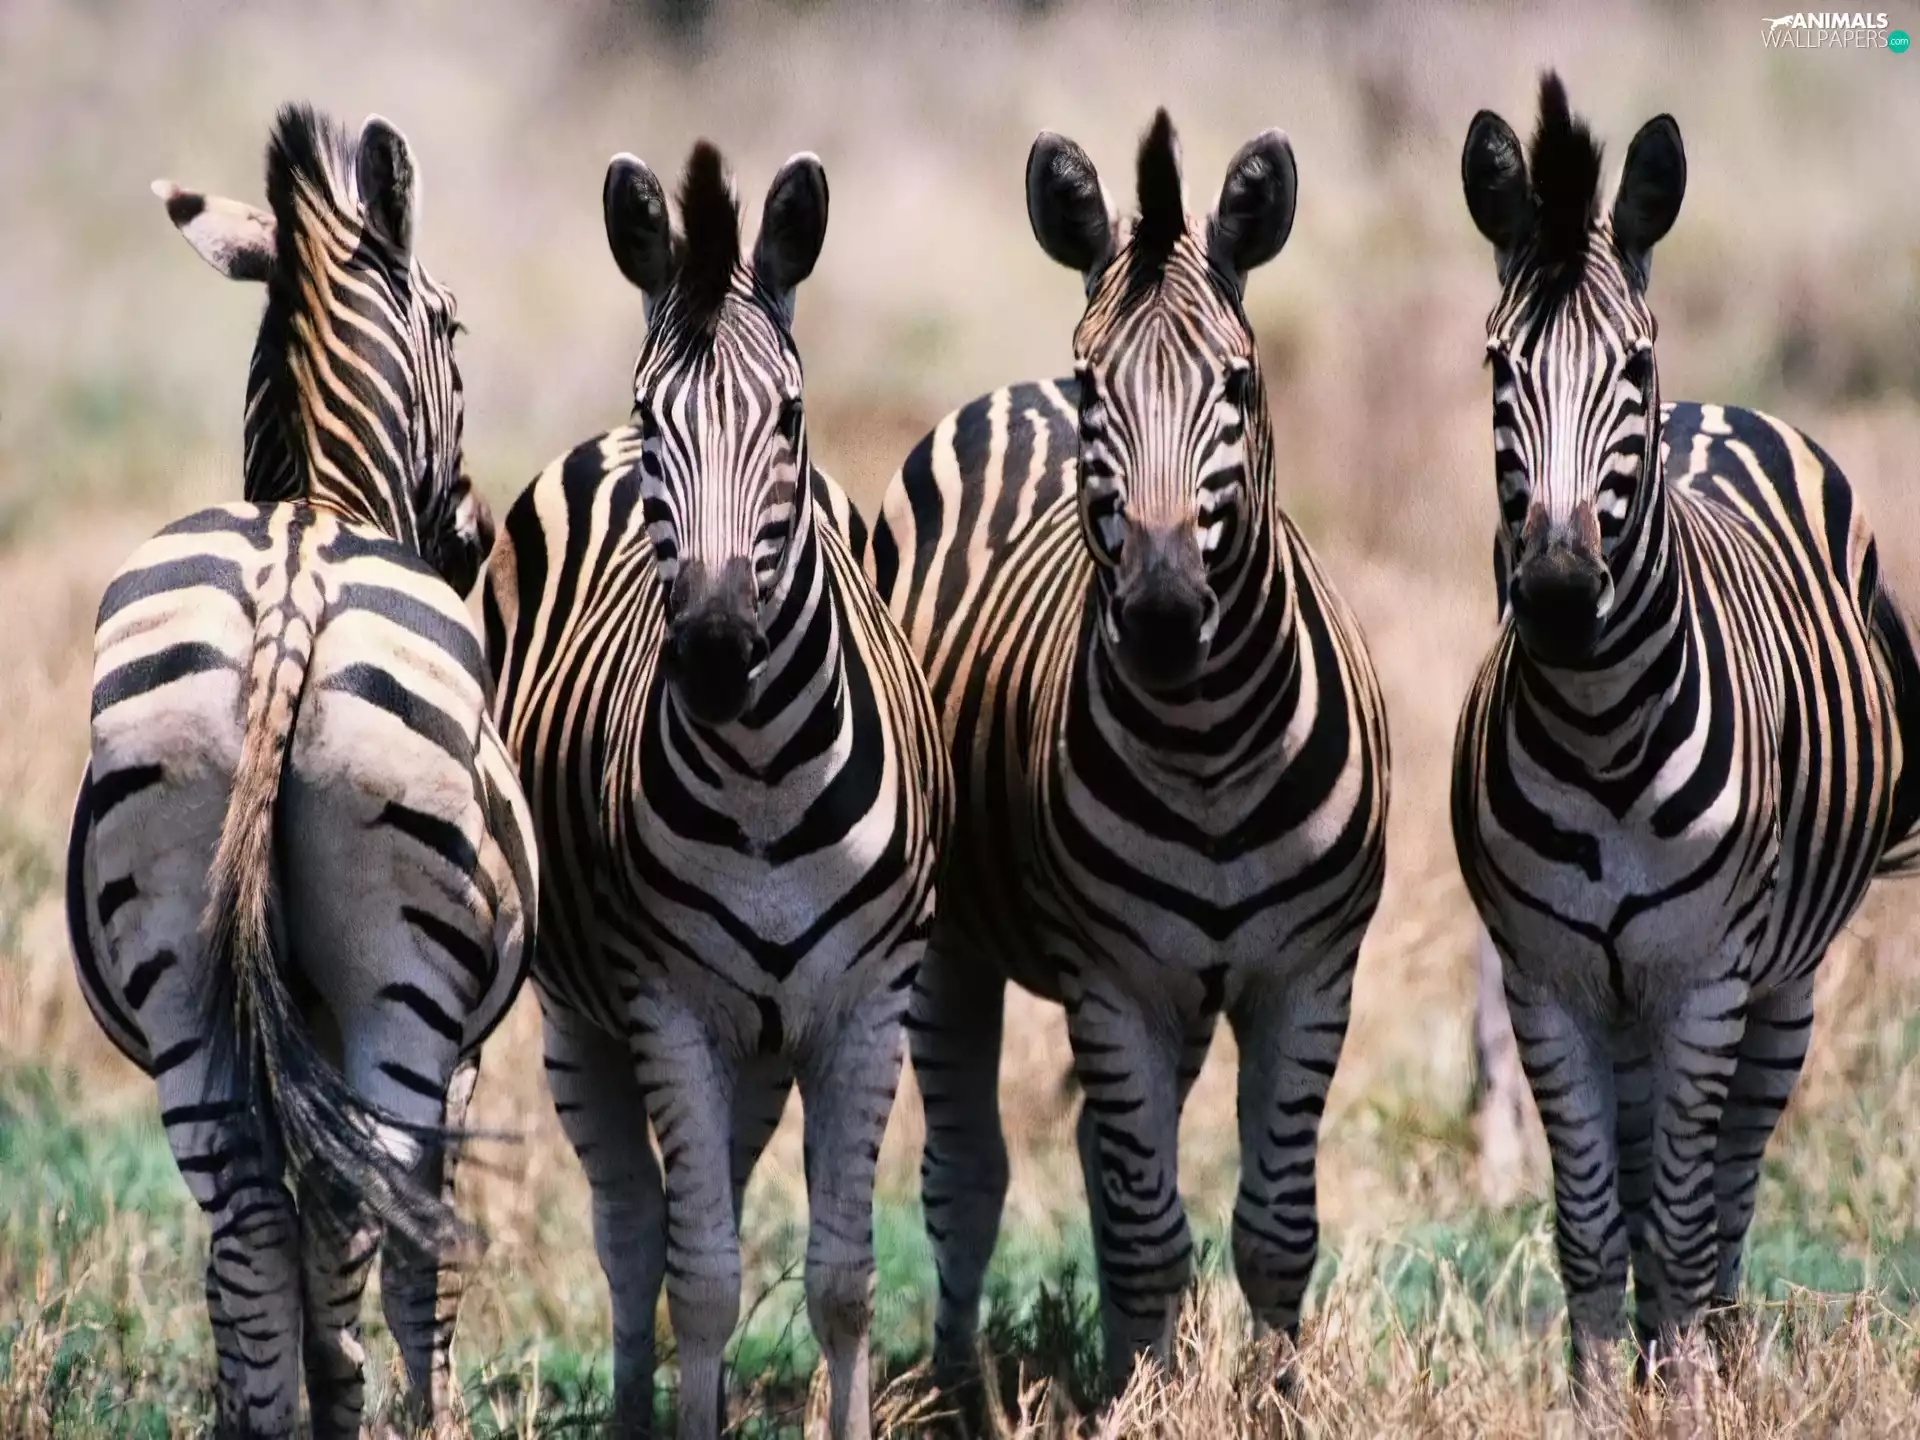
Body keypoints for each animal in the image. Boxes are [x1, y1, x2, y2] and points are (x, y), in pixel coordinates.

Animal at [66, 106, 537, 1438]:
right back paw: (358, 1401)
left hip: (180, 969)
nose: (473, 536)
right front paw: (427, 1405)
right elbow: (417, 1259)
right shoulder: (464, 1054)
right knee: (358, 1208)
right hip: (404, 994)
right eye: (456, 329)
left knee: (249, 1222)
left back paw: (282, 1413)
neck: (317, 496)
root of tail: (291, 586)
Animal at [481, 141, 951, 1440]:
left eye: (789, 416)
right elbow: (694, 1278)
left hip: (764, 1044)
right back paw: (639, 1412)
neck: (764, 782)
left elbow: (842, 1279)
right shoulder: (666, 1007)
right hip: (585, 1021)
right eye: (659, 421)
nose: (712, 647)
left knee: (719, 1202)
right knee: (635, 1234)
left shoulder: (869, 1005)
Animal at [871, 110, 1392, 1396]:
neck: (1209, 750)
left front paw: (1270, 1399)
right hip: (958, 948)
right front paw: (1150, 1402)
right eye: (1094, 384)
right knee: (968, 1177)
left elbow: (1273, 1225)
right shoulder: (1112, 978)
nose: (1160, 614)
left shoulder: (1308, 973)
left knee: (1104, 1164)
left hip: (1187, 995)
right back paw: (961, 1390)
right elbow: (1152, 1229)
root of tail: (1005, 397)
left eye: (1240, 382)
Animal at [1452, 74, 1920, 1409]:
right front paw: (1601, 1406)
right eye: (1499, 363)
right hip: (1627, 1001)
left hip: (1779, 984)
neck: (1603, 731)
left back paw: (1716, 1343)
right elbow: (1590, 1223)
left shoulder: (1707, 979)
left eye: (1634, 363)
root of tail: (1720, 412)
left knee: (1728, 1182)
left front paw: (1691, 1398)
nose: (1561, 595)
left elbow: (1677, 1213)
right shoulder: (1547, 983)